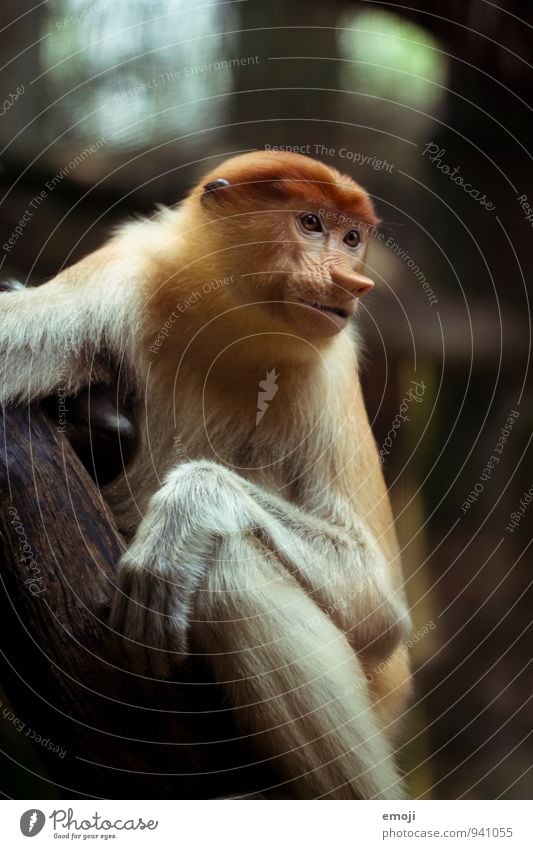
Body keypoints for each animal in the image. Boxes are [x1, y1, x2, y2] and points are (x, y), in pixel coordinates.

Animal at [0, 154, 412, 800]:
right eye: (311, 222)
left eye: (352, 238)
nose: (353, 282)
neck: (226, 320)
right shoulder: (119, 275)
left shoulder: (331, 368)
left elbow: (380, 613)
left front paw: (186, 510)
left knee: (229, 568)